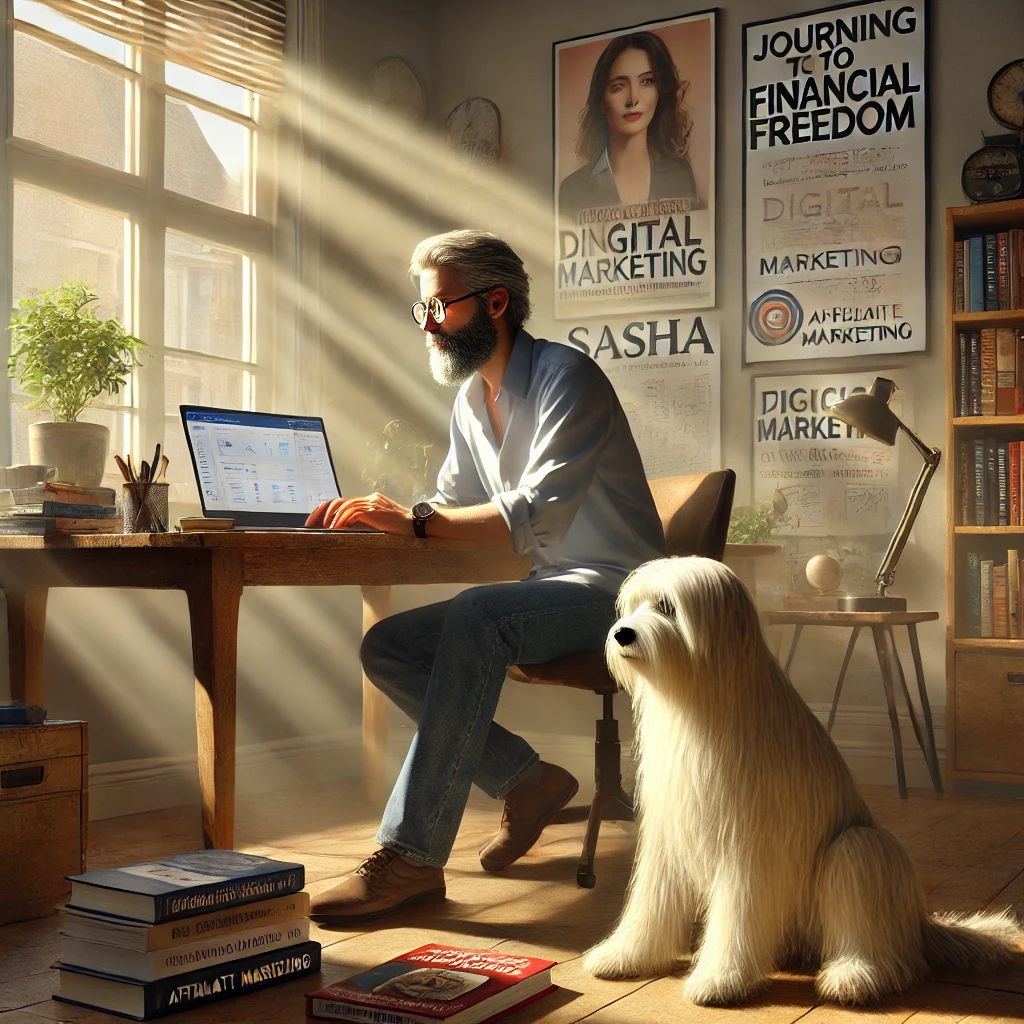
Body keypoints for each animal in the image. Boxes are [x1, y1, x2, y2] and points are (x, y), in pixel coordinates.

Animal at [585, 557, 1024, 1003]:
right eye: (633, 606)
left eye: (666, 607)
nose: (622, 634)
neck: (696, 703)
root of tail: (921, 927)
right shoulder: (668, 835)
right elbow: (650, 904)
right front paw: (626, 956)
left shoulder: (748, 846)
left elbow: (735, 918)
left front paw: (720, 980)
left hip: (859, 849)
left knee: (877, 938)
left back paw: (852, 976)